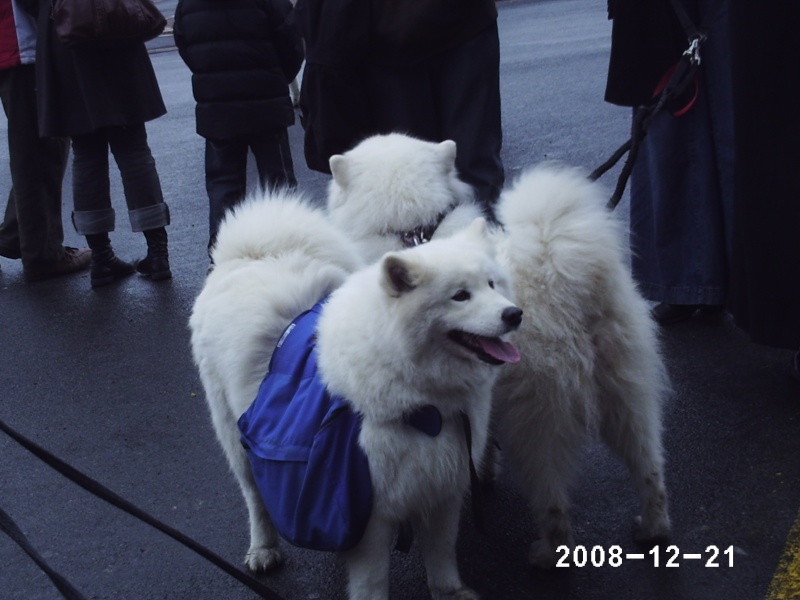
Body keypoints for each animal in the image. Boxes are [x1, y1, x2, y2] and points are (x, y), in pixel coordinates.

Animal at [190, 189, 520, 600]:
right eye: (460, 296)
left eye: (492, 285)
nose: (514, 314)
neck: (427, 404)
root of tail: (251, 254)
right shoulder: (366, 511)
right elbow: (372, 581)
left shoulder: (444, 486)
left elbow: (442, 556)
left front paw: (451, 593)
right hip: (237, 442)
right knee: (256, 499)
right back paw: (263, 549)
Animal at [328, 134, 672, 568]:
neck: (416, 232)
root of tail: (558, 272)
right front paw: (485, 470)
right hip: (626, 390)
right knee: (649, 465)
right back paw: (654, 527)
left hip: (538, 413)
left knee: (552, 494)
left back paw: (547, 552)